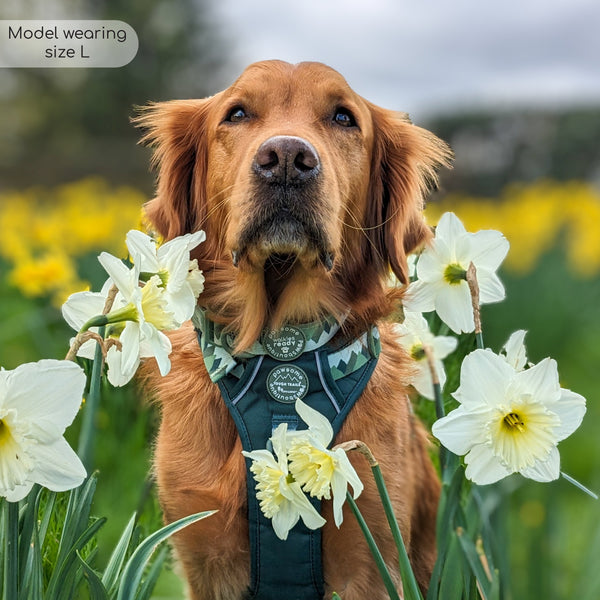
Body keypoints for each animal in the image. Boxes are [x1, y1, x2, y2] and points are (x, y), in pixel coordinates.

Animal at [138, 58, 452, 596]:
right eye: (237, 113)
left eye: (344, 118)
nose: (287, 158)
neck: (281, 353)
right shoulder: (204, 552)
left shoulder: (371, 554)